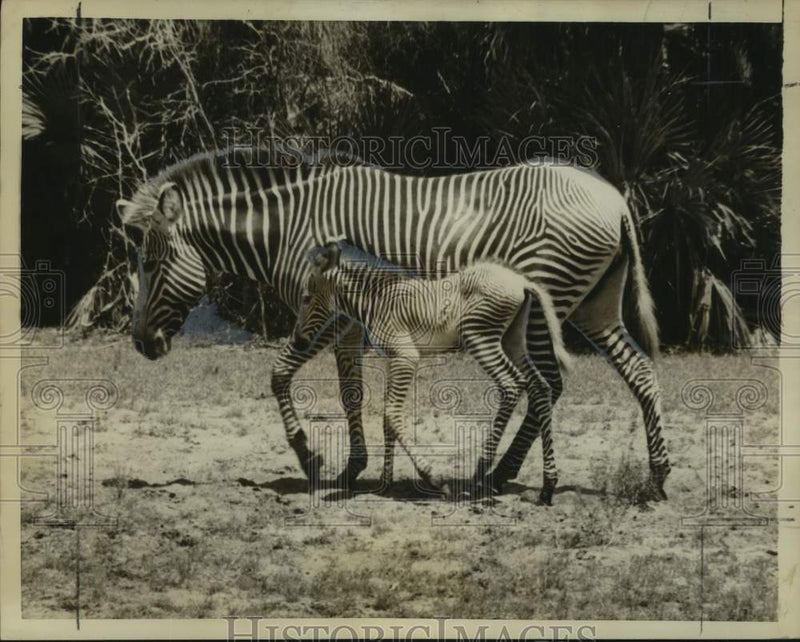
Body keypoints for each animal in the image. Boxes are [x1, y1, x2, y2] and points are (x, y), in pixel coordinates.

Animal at [293, 240, 571, 502]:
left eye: (306, 298)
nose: (298, 342)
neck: (378, 301)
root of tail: (522, 282)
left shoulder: (406, 356)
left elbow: (391, 414)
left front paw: (434, 479)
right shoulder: (392, 359)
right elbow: (386, 421)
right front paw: (384, 482)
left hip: (480, 337)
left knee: (512, 385)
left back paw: (479, 477)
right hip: (511, 339)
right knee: (540, 386)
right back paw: (547, 486)